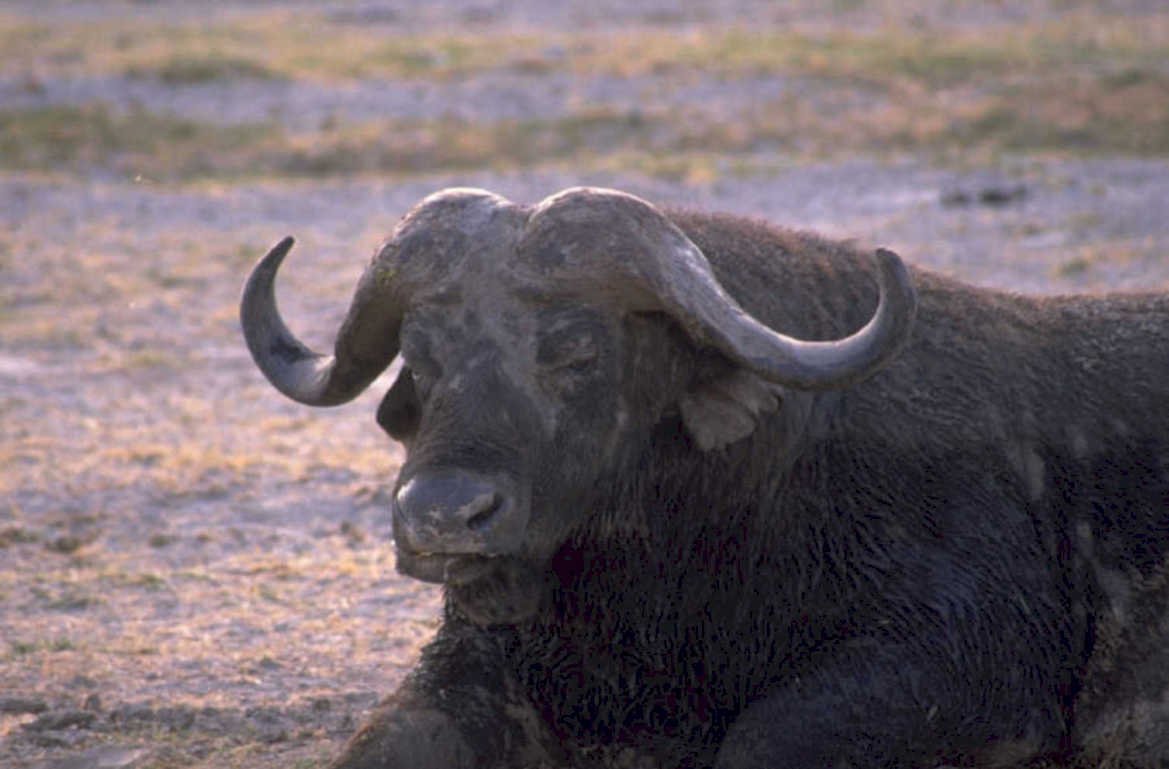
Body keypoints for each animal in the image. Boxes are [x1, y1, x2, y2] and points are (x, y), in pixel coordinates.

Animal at [241, 186, 1169, 768]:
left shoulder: (961, 657)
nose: (440, 515)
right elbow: (382, 741)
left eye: (577, 349)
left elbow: (761, 740)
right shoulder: (482, 656)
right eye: (421, 354)